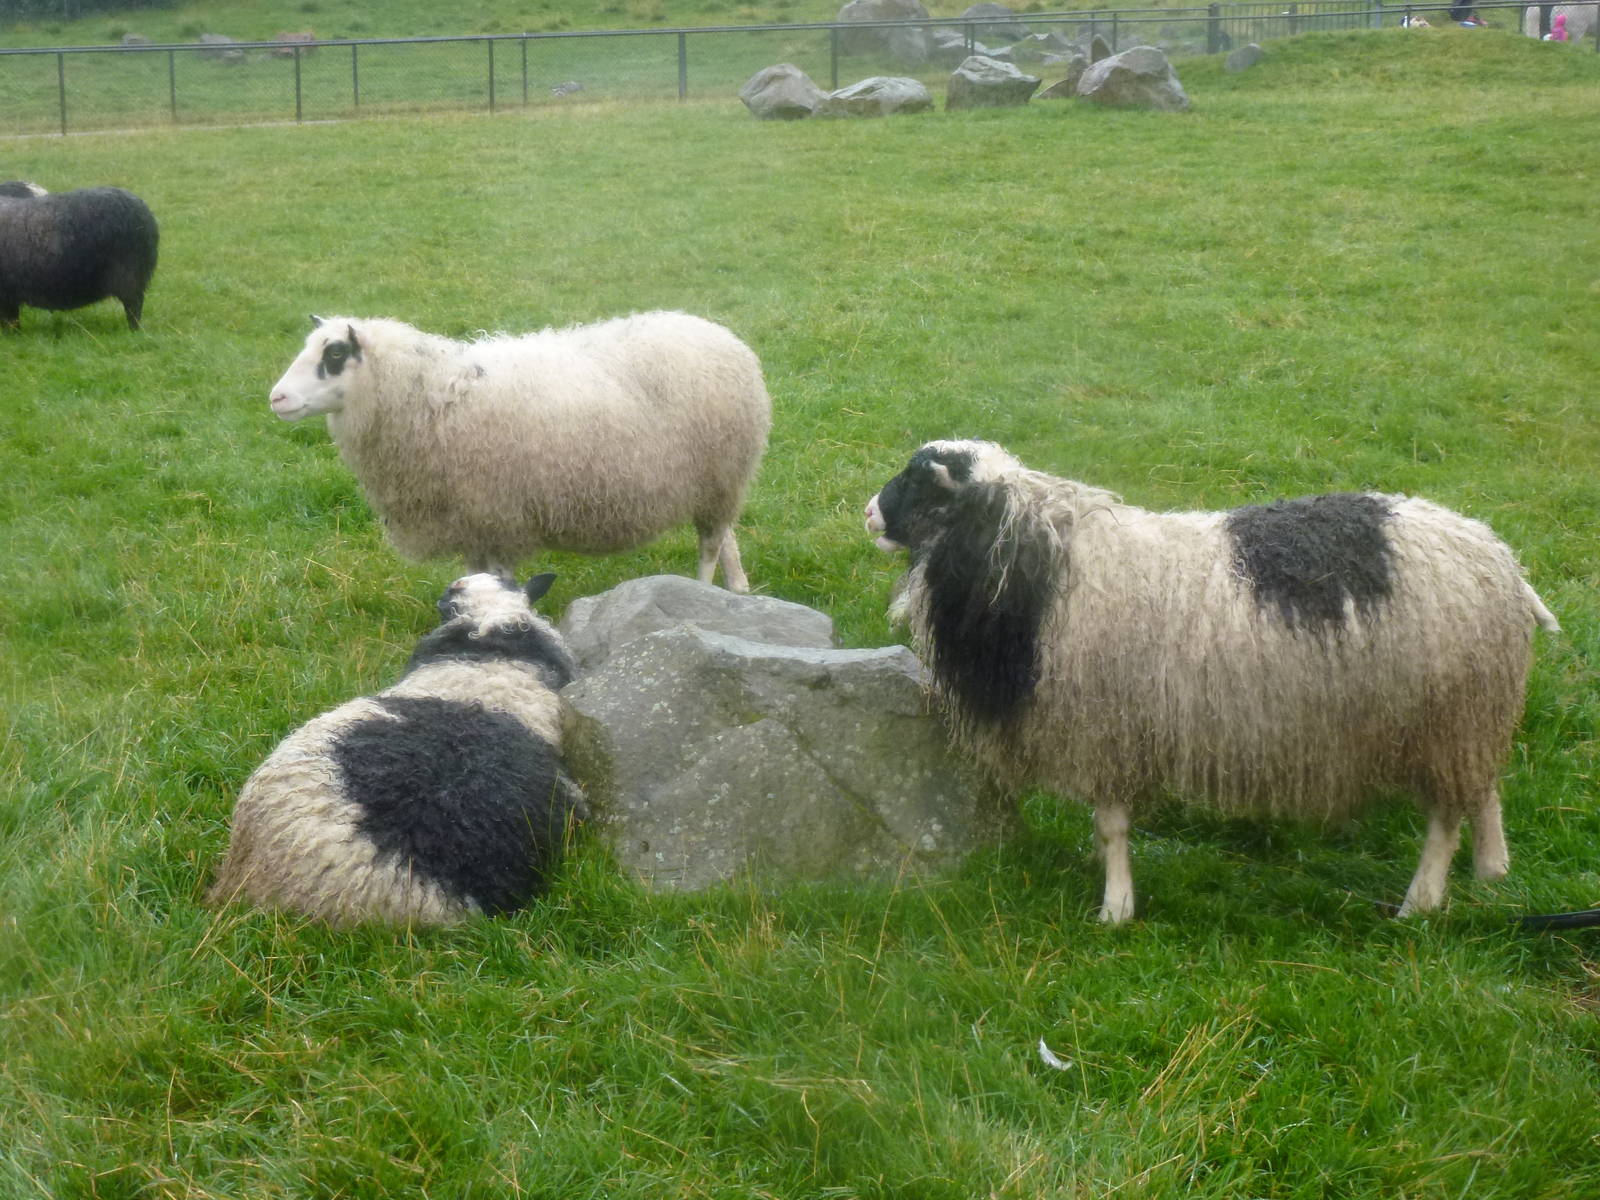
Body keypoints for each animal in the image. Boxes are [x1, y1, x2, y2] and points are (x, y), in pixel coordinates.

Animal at [267, 311, 771, 590]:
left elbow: (503, 579)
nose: (276, 398)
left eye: (333, 355)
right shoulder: (468, 520)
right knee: (726, 533)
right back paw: (738, 589)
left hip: (721, 470)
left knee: (709, 544)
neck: (427, 394)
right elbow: (476, 575)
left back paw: (705, 591)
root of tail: (722, 336)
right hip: (718, 478)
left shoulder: (498, 513)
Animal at [865, 439, 1559, 923]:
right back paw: (1493, 869)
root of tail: (1502, 562)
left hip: (1449, 714)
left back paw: (1422, 901)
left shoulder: (1106, 726)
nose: (869, 512)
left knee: (1445, 819)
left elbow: (1112, 827)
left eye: (917, 480)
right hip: (1472, 714)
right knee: (1483, 790)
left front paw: (1116, 907)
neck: (1035, 561)